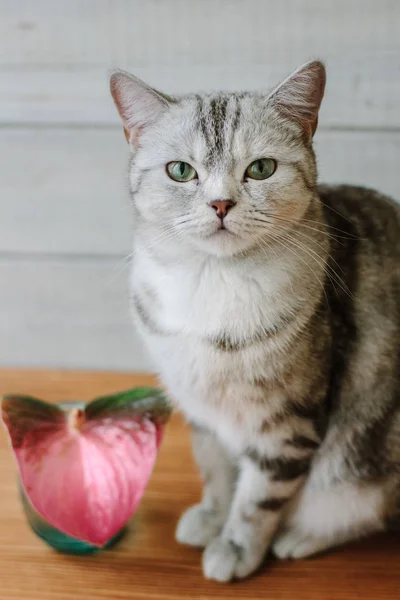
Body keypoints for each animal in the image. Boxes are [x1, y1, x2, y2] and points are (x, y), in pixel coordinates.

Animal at [109, 62, 400, 580]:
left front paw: (235, 547)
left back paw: (302, 536)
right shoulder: (202, 410)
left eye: (261, 168)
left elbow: (257, 498)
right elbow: (217, 471)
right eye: (180, 171)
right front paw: (212, 516)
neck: (212, 281)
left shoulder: (286, 422)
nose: (221, 204)